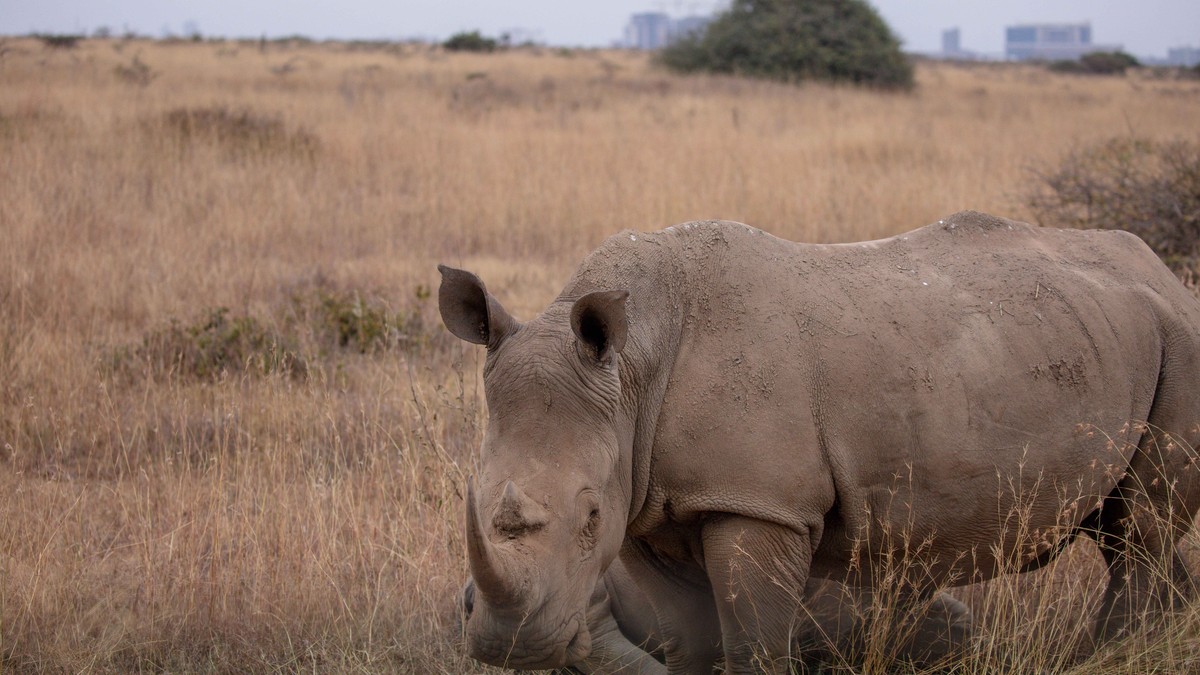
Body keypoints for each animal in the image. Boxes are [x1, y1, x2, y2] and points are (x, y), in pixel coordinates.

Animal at [439, 211, 1200, 673]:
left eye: (591, 517)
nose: (511, 646)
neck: (632, 373)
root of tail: (1167, 274)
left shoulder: (760, 502)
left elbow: (753, 645)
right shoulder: (654, 497)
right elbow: (691, 639)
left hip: (1179, 341)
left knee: (1139, 532)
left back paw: (1109, 657)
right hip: (1102, 339)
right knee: (1130, 532)